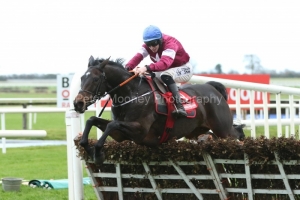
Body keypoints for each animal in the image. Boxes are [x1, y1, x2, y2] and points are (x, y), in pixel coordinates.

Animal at [74, 56, 245, 166]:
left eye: (96, 79)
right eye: (82, 78)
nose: (78, 103)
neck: (132, 93)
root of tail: (212, 87)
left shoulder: (140, 131)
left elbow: (111, 125)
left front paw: (98, 154)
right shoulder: (121, 135)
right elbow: (92, 120)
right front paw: (89, 148)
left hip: (223, 129)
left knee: (234, 133)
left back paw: (242, 135)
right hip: (197, 130)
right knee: (210, 136)